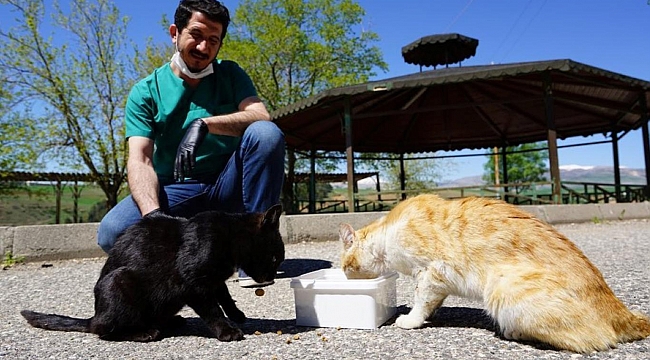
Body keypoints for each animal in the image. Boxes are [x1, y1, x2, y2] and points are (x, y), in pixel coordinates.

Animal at [20, 204, 282, 342]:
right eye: (274, 258)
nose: (271, 276)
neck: (229, 237)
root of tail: (93, 315)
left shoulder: (213, 280)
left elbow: (225, 296)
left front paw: (237, 314)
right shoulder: (193, 282)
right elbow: (212, 310)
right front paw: (227, 330)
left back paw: (171, 320)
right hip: (118, 281)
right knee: (104, 329)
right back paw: (144, 332)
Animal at [340, 194, 648, 352]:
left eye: (343, 266)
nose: (343, 275)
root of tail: (622, 311)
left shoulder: (431, 273)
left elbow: (421, 302)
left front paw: (411, 320)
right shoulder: (437, 282)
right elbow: (432, 302)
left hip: (502, 289)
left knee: (588, 340)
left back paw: (513, 331)